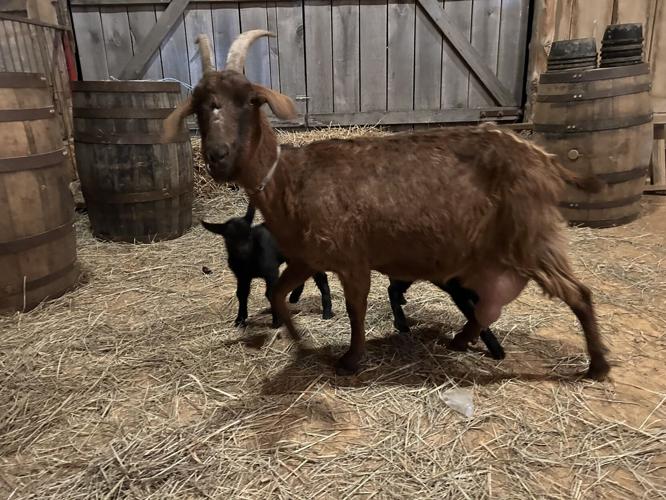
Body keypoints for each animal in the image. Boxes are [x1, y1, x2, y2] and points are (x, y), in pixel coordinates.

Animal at [202, 203, 333, 327]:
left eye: (249, 234)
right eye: (229, 238)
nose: (244, 250)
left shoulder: (271, 271)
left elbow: (270, 294)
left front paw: (277, 321)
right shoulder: (242, 276)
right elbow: (241, 294)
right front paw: (240, 320)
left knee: (321, 277)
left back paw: (327, 312)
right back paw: (294, 297)